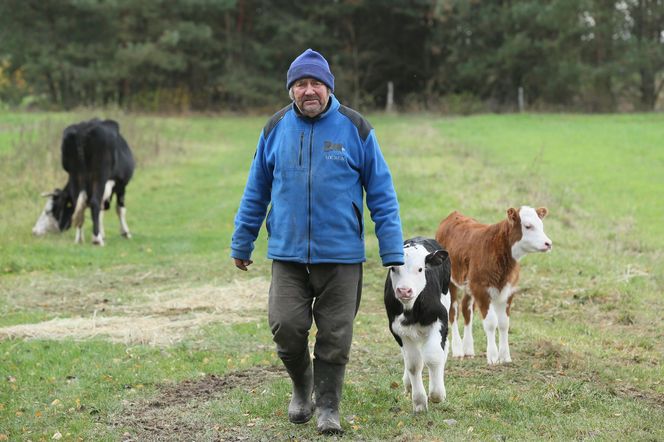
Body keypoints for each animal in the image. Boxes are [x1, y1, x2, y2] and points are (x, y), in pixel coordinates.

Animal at [32, 117, 135, 245]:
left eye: (50, 211)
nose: (34, 230)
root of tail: (82, 130)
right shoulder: (120, 184)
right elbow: (119, 209)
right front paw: (125, 233)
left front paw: (102, 233)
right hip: (99, 176)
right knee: (94, 202)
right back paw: (96, 239)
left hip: (75, 174)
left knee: (79, 203)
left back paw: (80, 238)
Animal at [384, 237, 452, 412]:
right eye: (393, 268)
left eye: (420, 269)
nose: (404, 290)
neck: (411, 310)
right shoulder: (397, 329)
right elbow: (413, 364)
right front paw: (420, 402)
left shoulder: (440, 317)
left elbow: (434, 356)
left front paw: (437, 394)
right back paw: (408, 384)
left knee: (443, 348)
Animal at [434, 205, 552, 364]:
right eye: (528, 226)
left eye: (541, 225)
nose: (548, 243)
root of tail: (453, 215)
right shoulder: (481, 288)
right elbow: (491, 322)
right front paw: (493, 356)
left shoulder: (507, 290)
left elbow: (503, 323)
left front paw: (505, 356)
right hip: (451, 281)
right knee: (453, 311)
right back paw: (458, 350)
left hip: (469, 284)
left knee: (466, 309)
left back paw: (468, 349)